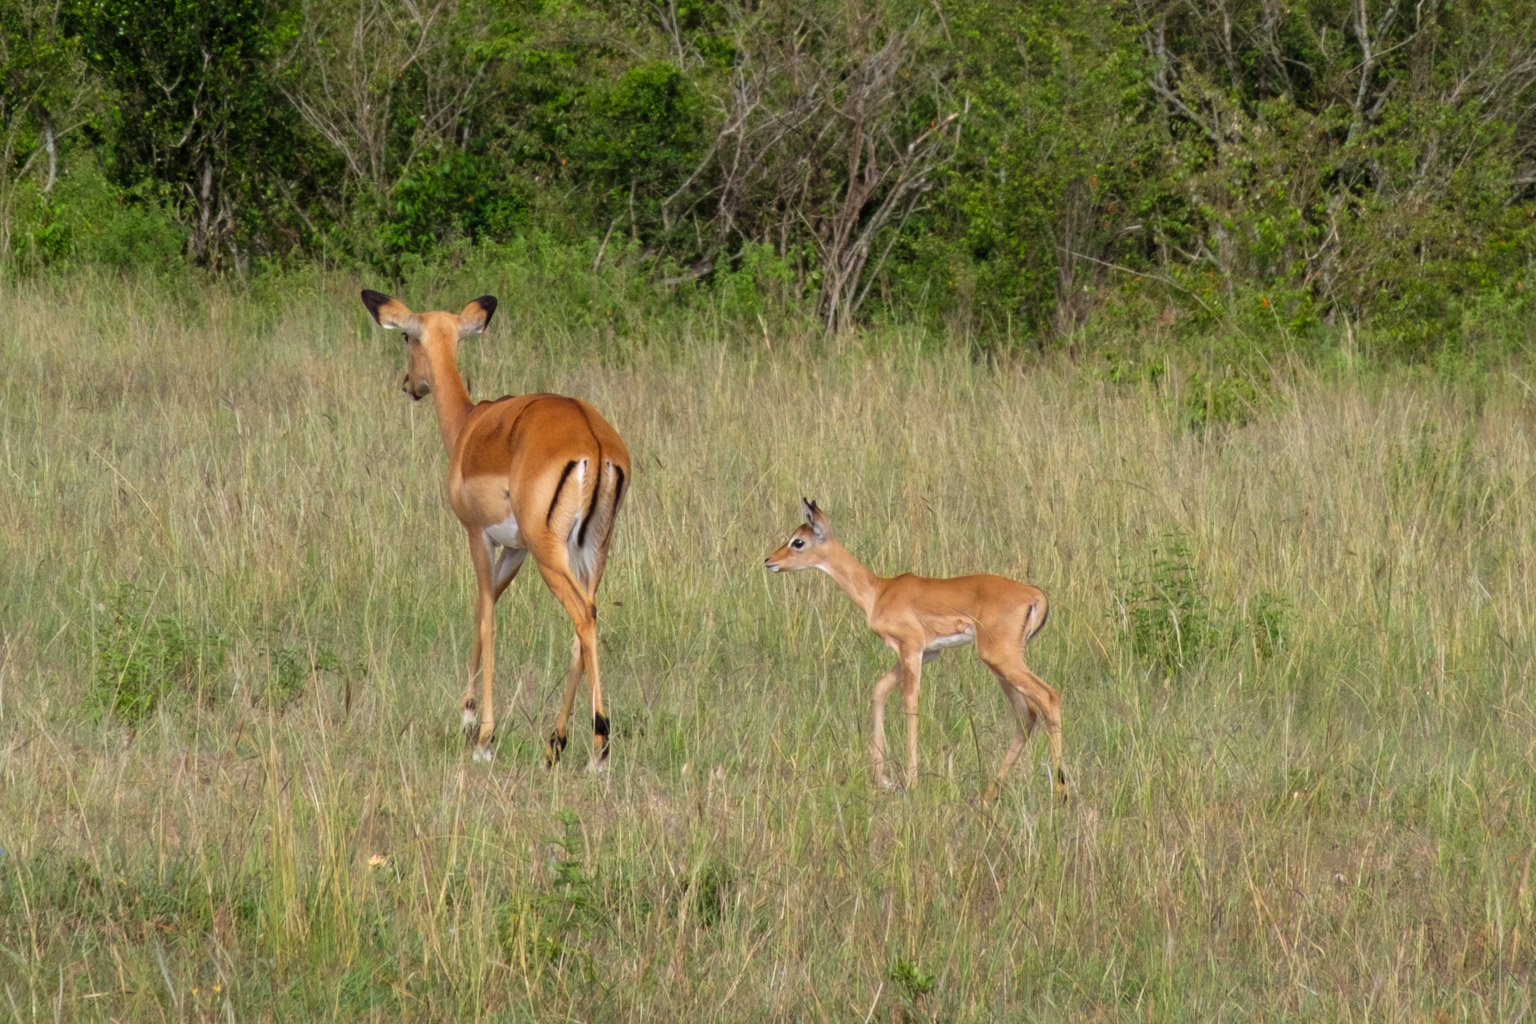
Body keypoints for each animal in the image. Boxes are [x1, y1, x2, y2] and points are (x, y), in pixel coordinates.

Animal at [360, 290, 630, 766]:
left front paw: (482, 735)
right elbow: (480, 609)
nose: (409, 384)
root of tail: (594, 441)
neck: (469, 425)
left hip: (550, 554)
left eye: (407, 336)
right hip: (593, 551)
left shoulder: (477, 535)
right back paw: (555, 743)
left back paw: (598, 745)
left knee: (582, 617)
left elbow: (486, 619)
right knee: (587, 622)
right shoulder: (514, 549)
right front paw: (467, 717)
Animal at [765, 500, 1065, 803]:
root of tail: (1035, 594)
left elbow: (910, 702)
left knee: (1048, 696)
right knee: (1026, 714)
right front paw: (881, 778)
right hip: (1000, 665)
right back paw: (989, 793)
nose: (769, 561)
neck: (879, 592)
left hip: (1000, 658)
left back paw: (1059, 792)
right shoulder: (924, 654)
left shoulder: (911, 648)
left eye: (798, 541)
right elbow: (880, 690)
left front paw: (911, 781)